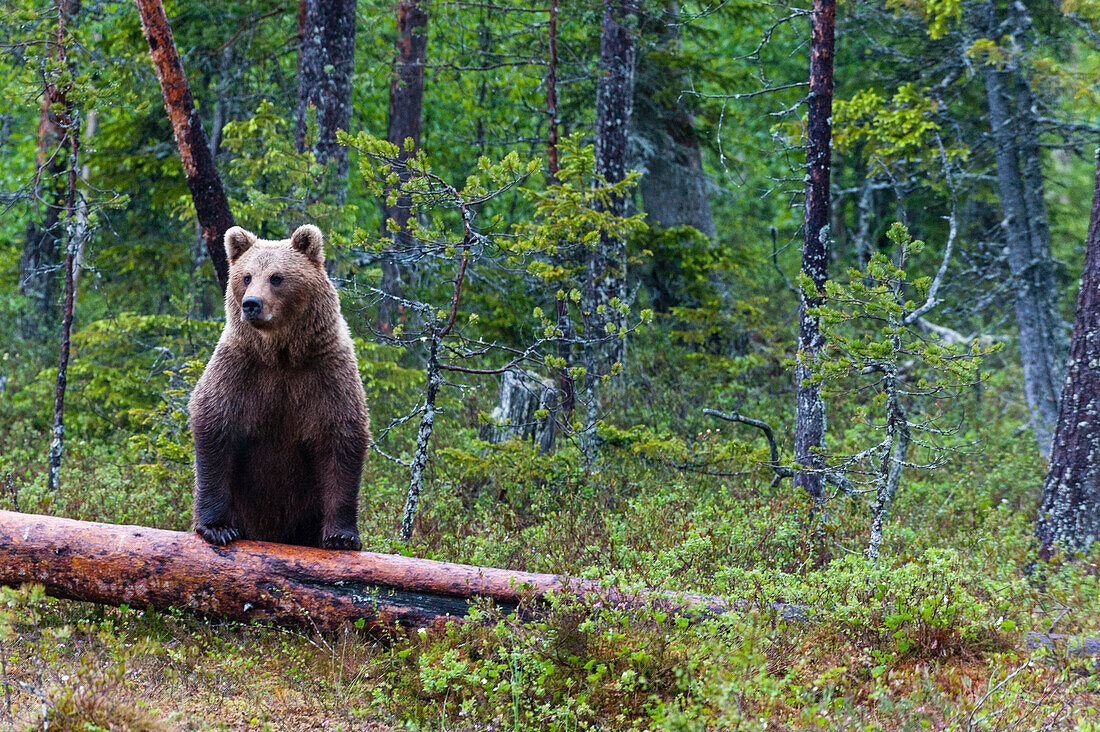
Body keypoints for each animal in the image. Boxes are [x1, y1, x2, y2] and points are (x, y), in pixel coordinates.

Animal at [191, 222, 371, 548]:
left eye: (276, 277)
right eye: (246, 276)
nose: (251, 304)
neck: (281, 354)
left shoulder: (326, 373)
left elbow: (341, 438)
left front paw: (341, 536)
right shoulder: (240, 369)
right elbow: (215, 424)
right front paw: (218, 527)